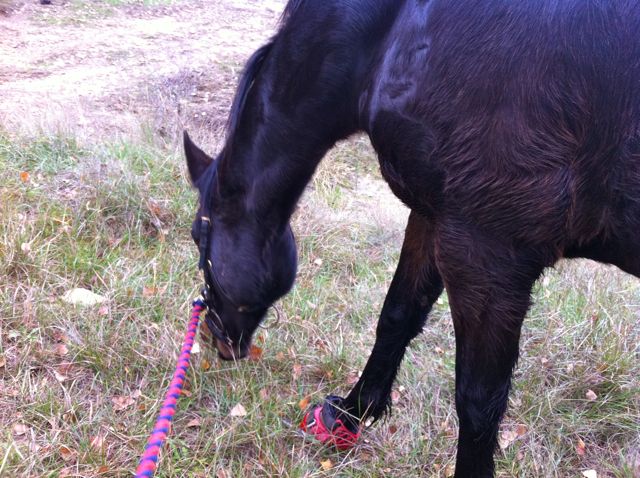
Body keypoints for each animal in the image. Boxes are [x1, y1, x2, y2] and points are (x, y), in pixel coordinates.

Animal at [183, 1, 640, 476]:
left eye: (199, 237)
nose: (215, 336)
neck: (393, 34)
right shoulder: (434, 216)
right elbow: (397, 316)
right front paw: (350, 414)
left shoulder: (486, 254)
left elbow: (479, 400)